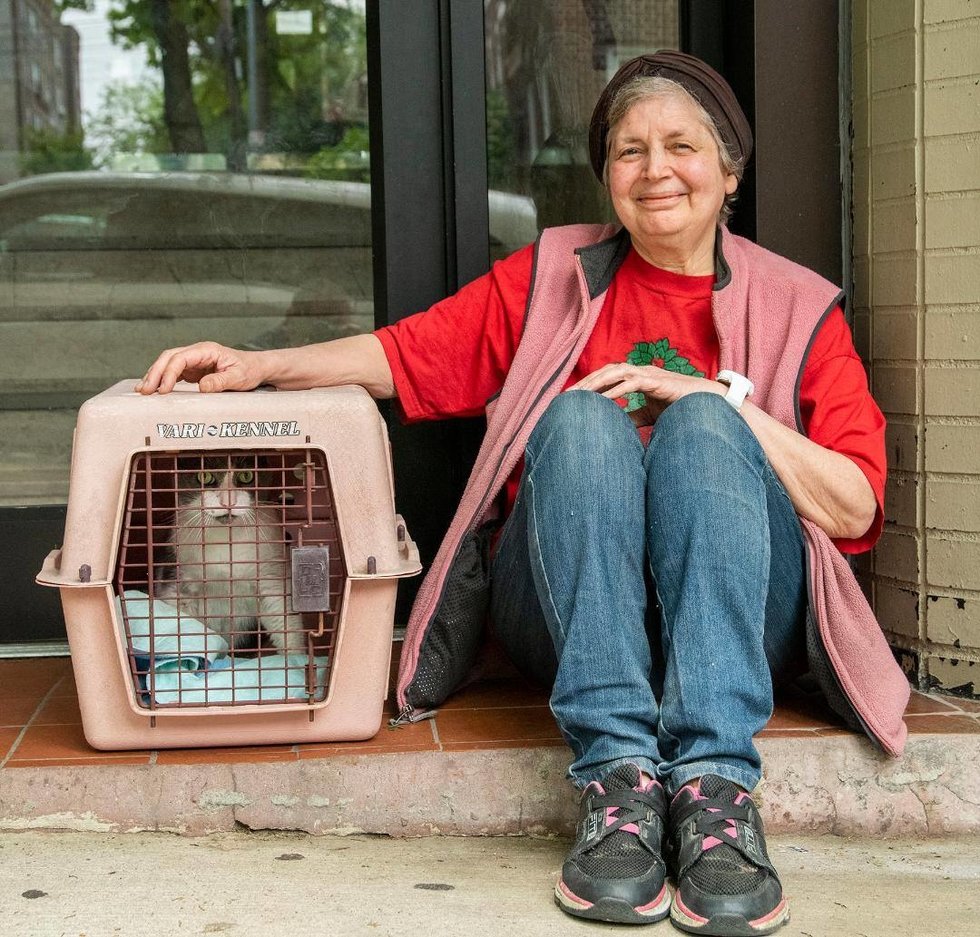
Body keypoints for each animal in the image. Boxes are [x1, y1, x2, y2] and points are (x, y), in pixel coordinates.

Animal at [153, 454, 308, 652]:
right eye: (204, 476)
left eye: (246, 476)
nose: (228, 501)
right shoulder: (177, 583)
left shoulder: (272, 580)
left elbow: (286, 626)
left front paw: (296, 659)